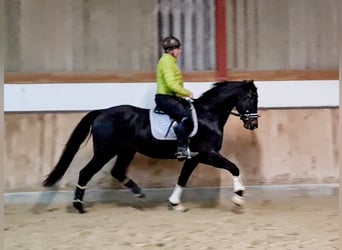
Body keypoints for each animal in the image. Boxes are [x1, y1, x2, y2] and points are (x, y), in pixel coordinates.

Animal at [42, 80, 260, 213]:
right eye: (250, 97)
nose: (253, 124)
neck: (208, 115)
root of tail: (101, 112)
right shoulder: (208, 154)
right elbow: (234, 167)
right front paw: (239, 197)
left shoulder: (195, 157)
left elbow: (183, 178)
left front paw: (175, 204)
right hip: (105, 151)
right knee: (85, 173)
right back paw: (79, 206)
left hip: (126, 151)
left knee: (117, 171)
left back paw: (139, 193)